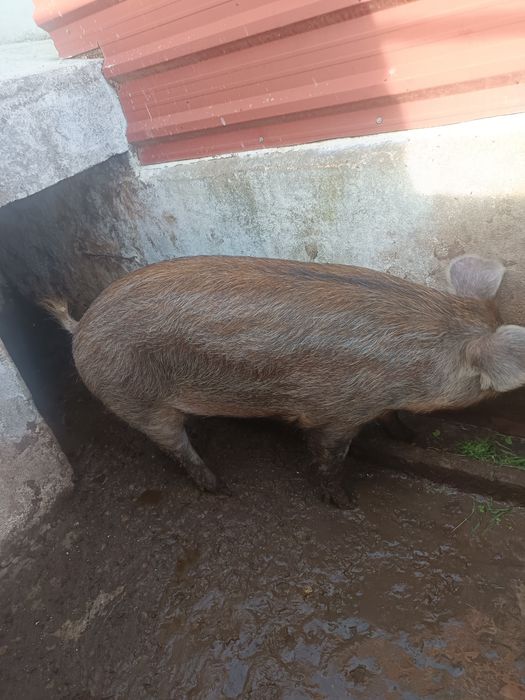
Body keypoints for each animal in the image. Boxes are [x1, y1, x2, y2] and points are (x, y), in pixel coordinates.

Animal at [44, 255, 525, 507]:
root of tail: (81, 326)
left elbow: (391, 419)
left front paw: (413, 439)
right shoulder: (336, 413)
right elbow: (328, 456)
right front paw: (345, 502)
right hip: (134, 397)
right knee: (172, 445)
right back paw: (219, 487)